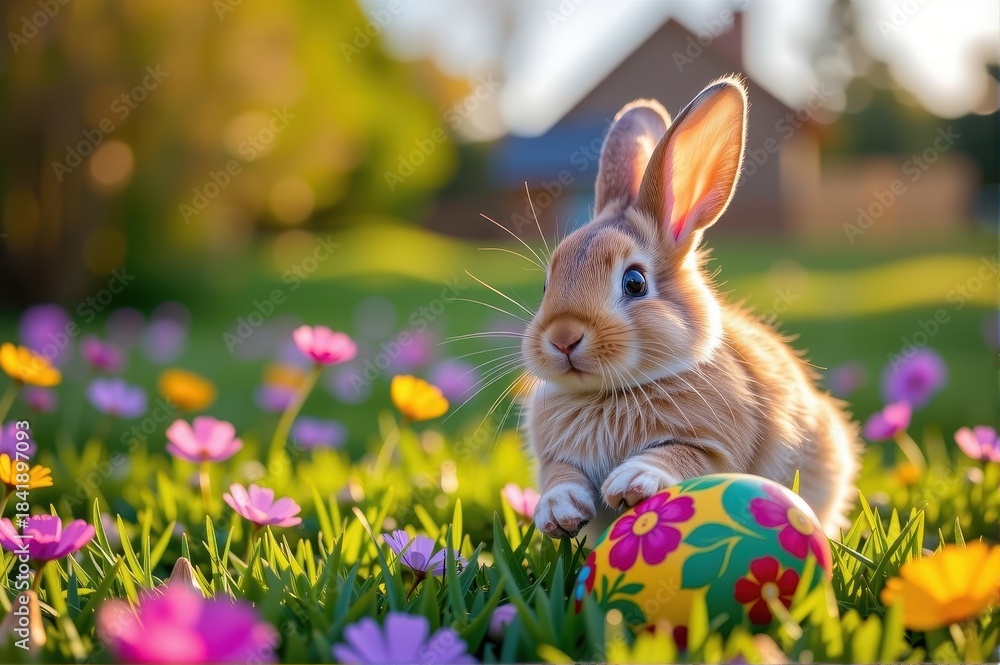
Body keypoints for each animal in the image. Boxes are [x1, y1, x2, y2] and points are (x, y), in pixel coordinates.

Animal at [521, 76, 860, 540]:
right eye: (545, 285)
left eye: (634, 282)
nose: (562, 338)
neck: (611, 393)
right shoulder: (556, 459)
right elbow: (560, 476)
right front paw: (557, 512)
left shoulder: (714, 447)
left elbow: (680, 457)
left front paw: (633, 482)